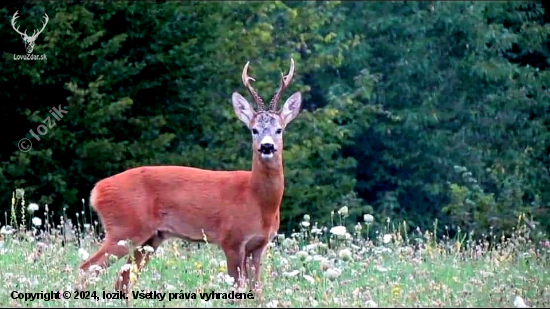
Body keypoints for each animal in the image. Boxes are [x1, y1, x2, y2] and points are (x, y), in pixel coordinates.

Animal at [78, 57, 302, 294]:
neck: (257, 199)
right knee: (87, 268)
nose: (267, 147)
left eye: (279, 129)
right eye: (254, 130)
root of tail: (97, 191)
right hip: (124, 229)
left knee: (122, 280)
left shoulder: (258, 245)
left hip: (149, 239)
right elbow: (237, 291)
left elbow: (257, 291)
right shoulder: (231, 239)